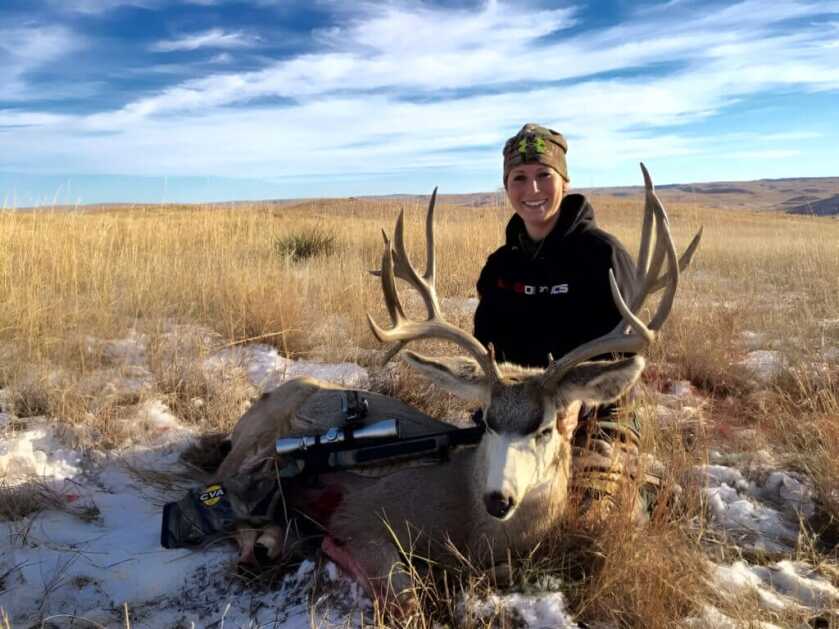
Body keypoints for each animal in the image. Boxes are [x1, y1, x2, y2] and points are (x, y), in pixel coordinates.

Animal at [212, 163, 702, 608]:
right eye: (487, 422)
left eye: (546, 428)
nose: (498, 499)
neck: (470, 524)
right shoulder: (362, 514)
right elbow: (407, 595)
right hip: (254, 447)